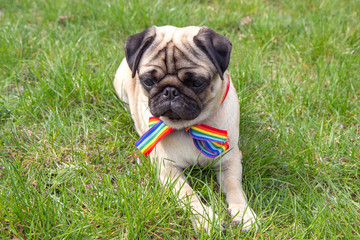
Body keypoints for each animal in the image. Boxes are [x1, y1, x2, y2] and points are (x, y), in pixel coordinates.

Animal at [114, 24, 258, 232]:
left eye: (196, 83)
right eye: (148, 81)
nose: (170, 91)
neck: (190, 126)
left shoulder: (229, 160)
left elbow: (234, 187)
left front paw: (243, 213)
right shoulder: (169, 171)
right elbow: (190, 196)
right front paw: (206, 219)